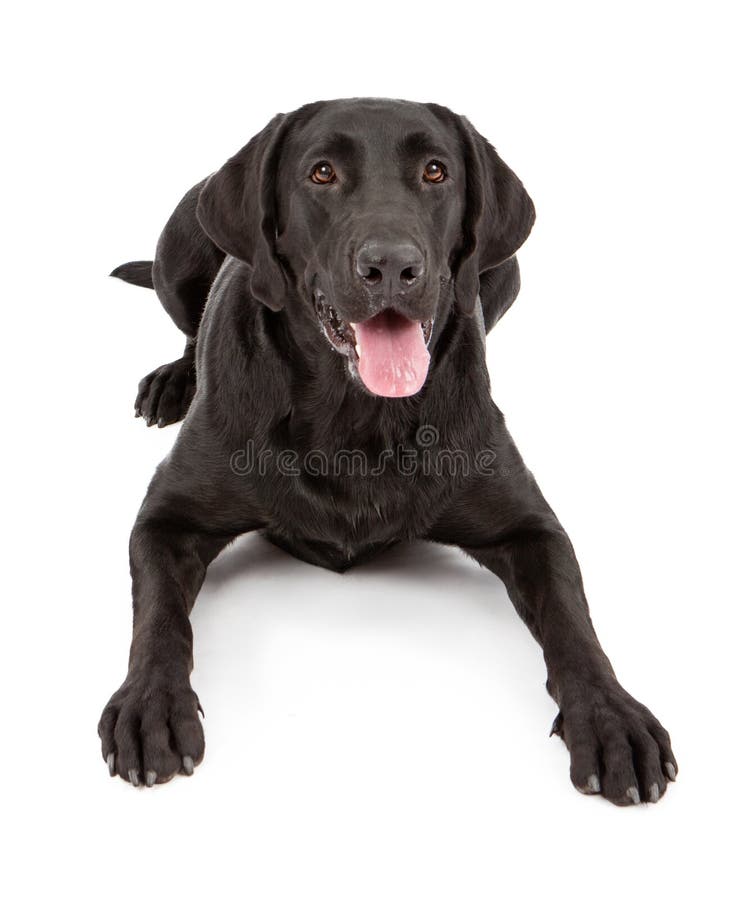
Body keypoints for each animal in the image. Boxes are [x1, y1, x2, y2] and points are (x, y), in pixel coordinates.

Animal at [101, 96, 680, 800]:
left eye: (436, 171)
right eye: (321, 172)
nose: (392, 268)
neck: (354, 418)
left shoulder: (532, 527)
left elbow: (574, 620)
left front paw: (612, 717)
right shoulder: (167, 518)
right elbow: (159, 618)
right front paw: (150, 706)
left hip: (504, 273)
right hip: (178, 247)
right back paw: (171, 381)